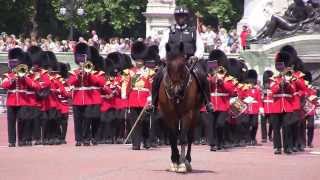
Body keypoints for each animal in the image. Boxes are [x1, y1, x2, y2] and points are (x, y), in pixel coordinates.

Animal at [158, 43, 201, 174]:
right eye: (168, 65)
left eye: (182, 64)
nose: (177, 91)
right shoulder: (168, 114)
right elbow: (173, 137)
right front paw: (174, 161)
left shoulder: (187, 114)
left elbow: (182, 138)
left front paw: (181, 163)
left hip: (195, 114)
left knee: (190, 136)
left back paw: (187, 160)